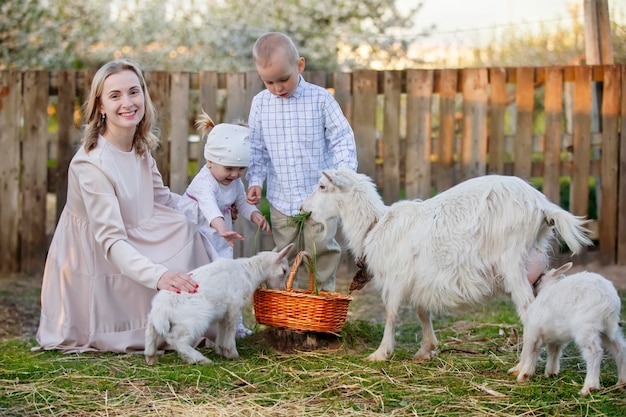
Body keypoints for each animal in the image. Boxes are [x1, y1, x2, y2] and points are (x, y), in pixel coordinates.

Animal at [300, 168, 592, 360]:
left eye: (323, 186)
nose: (303, 209)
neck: (376, 225)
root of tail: (543, 208)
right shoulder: (419, 277)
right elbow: (422, 312)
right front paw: (426, 349)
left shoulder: (397, 277)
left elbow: (391, 313)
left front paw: (381, 353)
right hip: (537, 266)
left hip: (512, 262)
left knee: (529, 310)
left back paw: (523, 365)